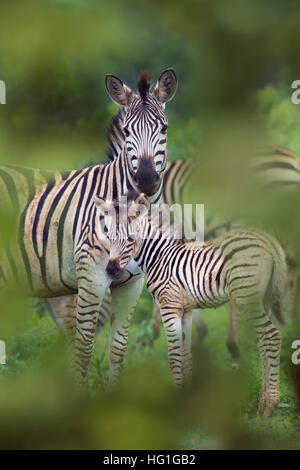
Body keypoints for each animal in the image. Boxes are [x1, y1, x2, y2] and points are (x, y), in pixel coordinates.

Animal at [0, 69, 178, 386]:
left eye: (164, 129)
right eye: (128, 133)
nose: (146, 180)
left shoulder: (131, 285)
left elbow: (118, 349)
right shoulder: (92, 279)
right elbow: (83, 350)